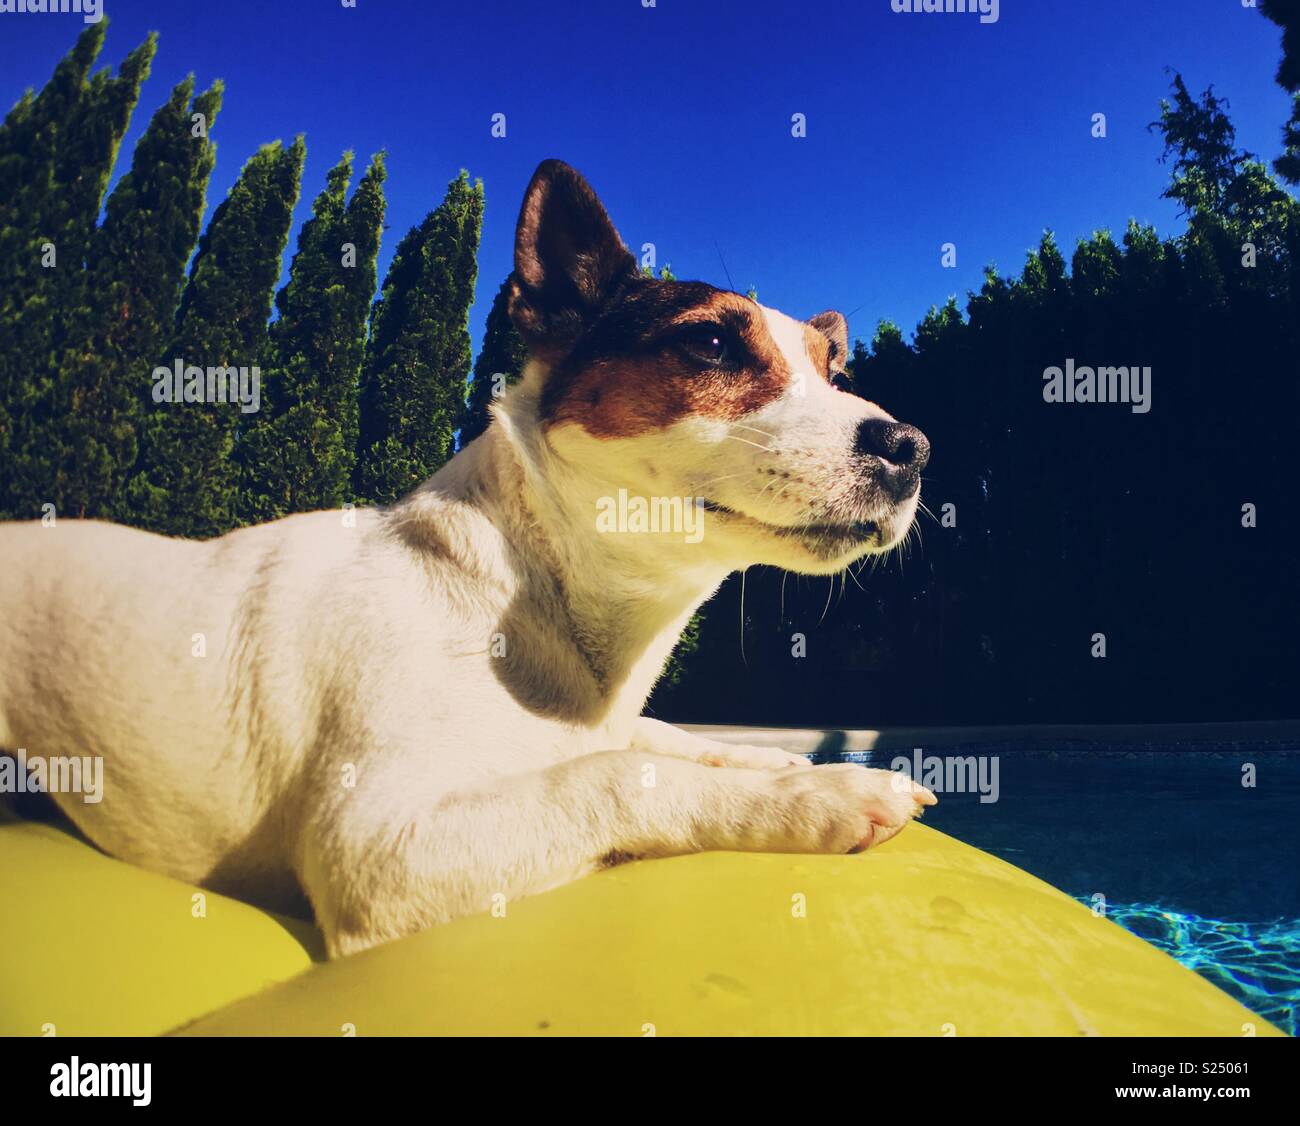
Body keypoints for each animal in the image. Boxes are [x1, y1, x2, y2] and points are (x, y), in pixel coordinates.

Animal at [0, 157, 935, 951]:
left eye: (835, 370)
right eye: (709, 344)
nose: (911, 448)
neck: (533, 583)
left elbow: (659, 739)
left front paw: (789, 765)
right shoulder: (379, 849)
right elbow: (615, 774)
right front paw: (824, 795)